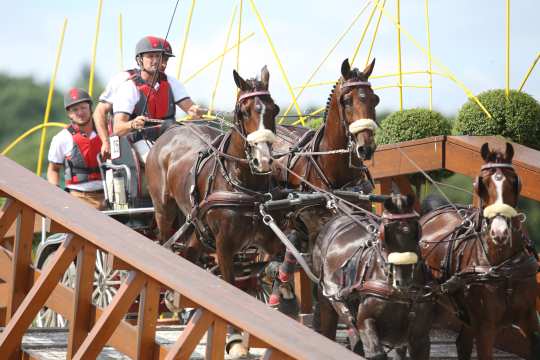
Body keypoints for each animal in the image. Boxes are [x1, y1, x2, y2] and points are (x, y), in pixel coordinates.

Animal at [146, 67, 284, 354]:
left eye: (273, 109)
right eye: (244, 111)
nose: (264, 160)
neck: (241, 183)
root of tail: (168, 133)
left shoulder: (267, 240)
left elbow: (272, 265)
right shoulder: (225, 245)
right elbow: (229, 283)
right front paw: (234, 340)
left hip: (199, 225)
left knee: (189, 251)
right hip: (164, 210)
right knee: (166, 243)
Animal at [312, 195, 434, 358]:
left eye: (417, 230)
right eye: (385, 234)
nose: (402, 281)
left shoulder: (420, 338)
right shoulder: (365, 321)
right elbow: (376, 353)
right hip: (326, 300)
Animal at [422, 142, 540, 358]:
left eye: (514, 182)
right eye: (481, 184)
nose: (499, 233)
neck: (503, 267)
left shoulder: (530, 321)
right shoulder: (485, 328)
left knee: (463, 344)